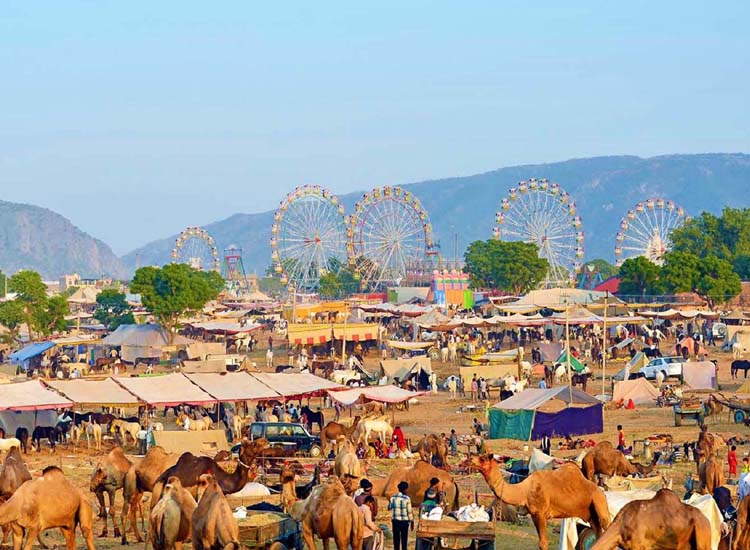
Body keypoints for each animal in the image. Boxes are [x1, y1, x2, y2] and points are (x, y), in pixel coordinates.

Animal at [470, 452, 612, 550]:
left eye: (482, 458)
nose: (470, 459)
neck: (524, 490)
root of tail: (599, 489)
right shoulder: (534, 515)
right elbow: (540, 543)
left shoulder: (541, 514)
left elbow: (543, 543)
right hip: (591, 515)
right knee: (599, 533)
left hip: (599, 502)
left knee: (606, 525)